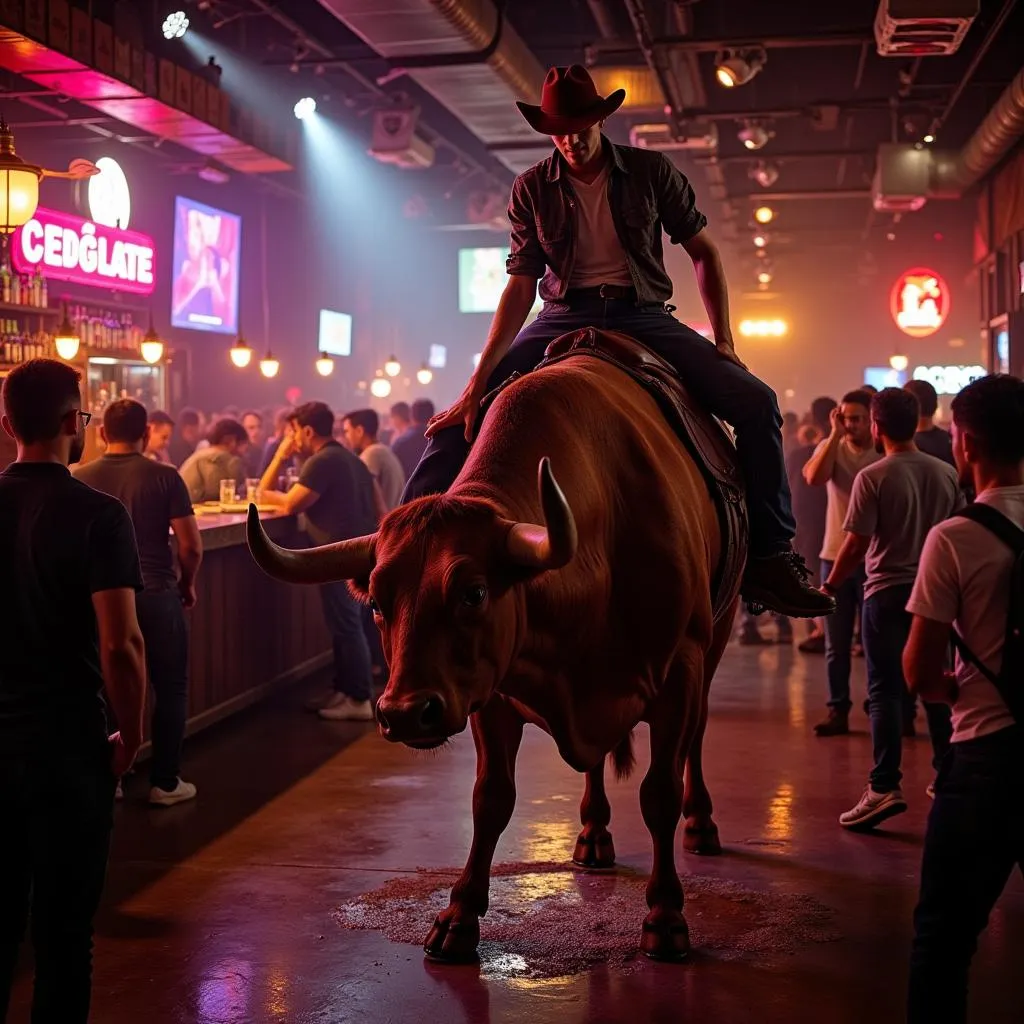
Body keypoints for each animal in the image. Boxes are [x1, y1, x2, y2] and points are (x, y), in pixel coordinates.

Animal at [247, 327, 745, 958]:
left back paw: (701, 824)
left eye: (475, 593)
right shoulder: (489, 690)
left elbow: (660, 792)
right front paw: (458, 917)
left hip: (717, 639)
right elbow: (491, 799)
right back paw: (592, 833)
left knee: (695, 743)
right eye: (378, 603)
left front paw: (665, 916)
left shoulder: (681, 669)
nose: (404, 712)